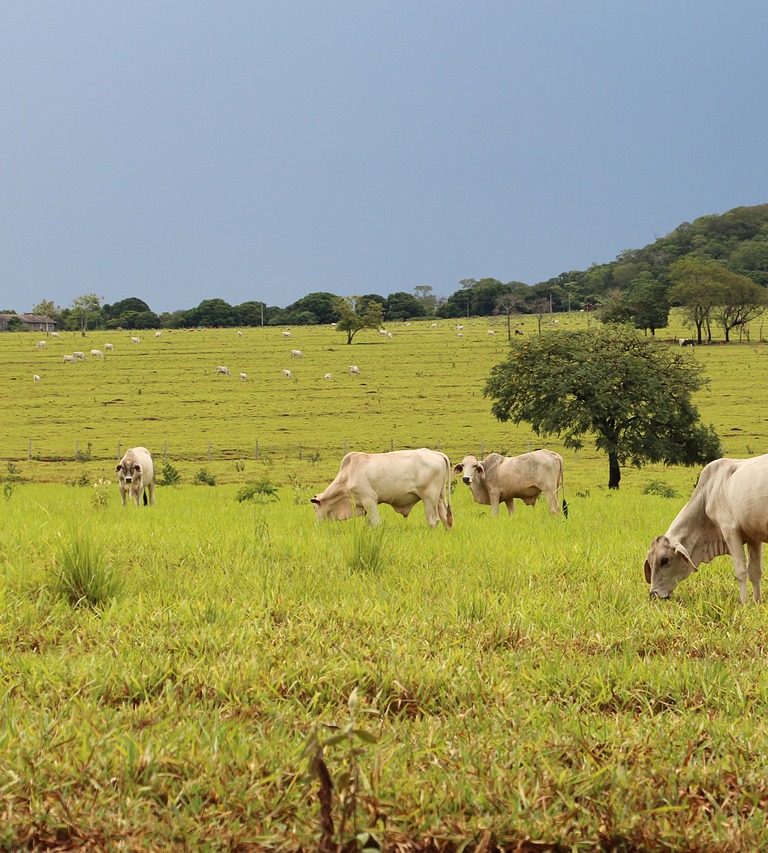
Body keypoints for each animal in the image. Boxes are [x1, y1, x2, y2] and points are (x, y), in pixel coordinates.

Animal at [312, 446, 452, 524]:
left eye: (315, 508)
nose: (317, 525)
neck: (348, 475)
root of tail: (437, 454)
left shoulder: (369, 500)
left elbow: (376, 522)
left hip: (429, 498)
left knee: (433, 521)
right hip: (440, 497)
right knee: (446, 519)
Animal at [640, 456, 768, 604]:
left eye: (664, 560)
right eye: (650, 563)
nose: (653, 594)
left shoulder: (729, 530)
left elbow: (740, 571)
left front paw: (744, 603)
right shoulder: (753, 537)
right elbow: (755, 571)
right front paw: (757, 602)